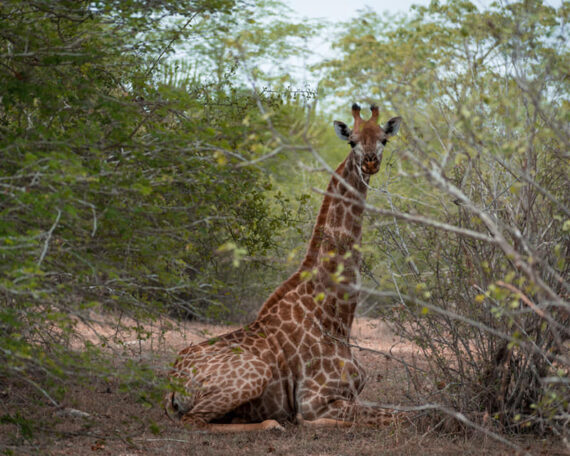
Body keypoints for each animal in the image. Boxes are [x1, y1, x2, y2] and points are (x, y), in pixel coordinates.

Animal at [166, 102, 402, 432]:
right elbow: (398, 417)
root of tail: (172, 380)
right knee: (193, 421)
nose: (369, 163)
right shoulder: (315, 401)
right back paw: (271, 424)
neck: (336, 319)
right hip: (255, 374)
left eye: (383, 140)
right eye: (352, 142)